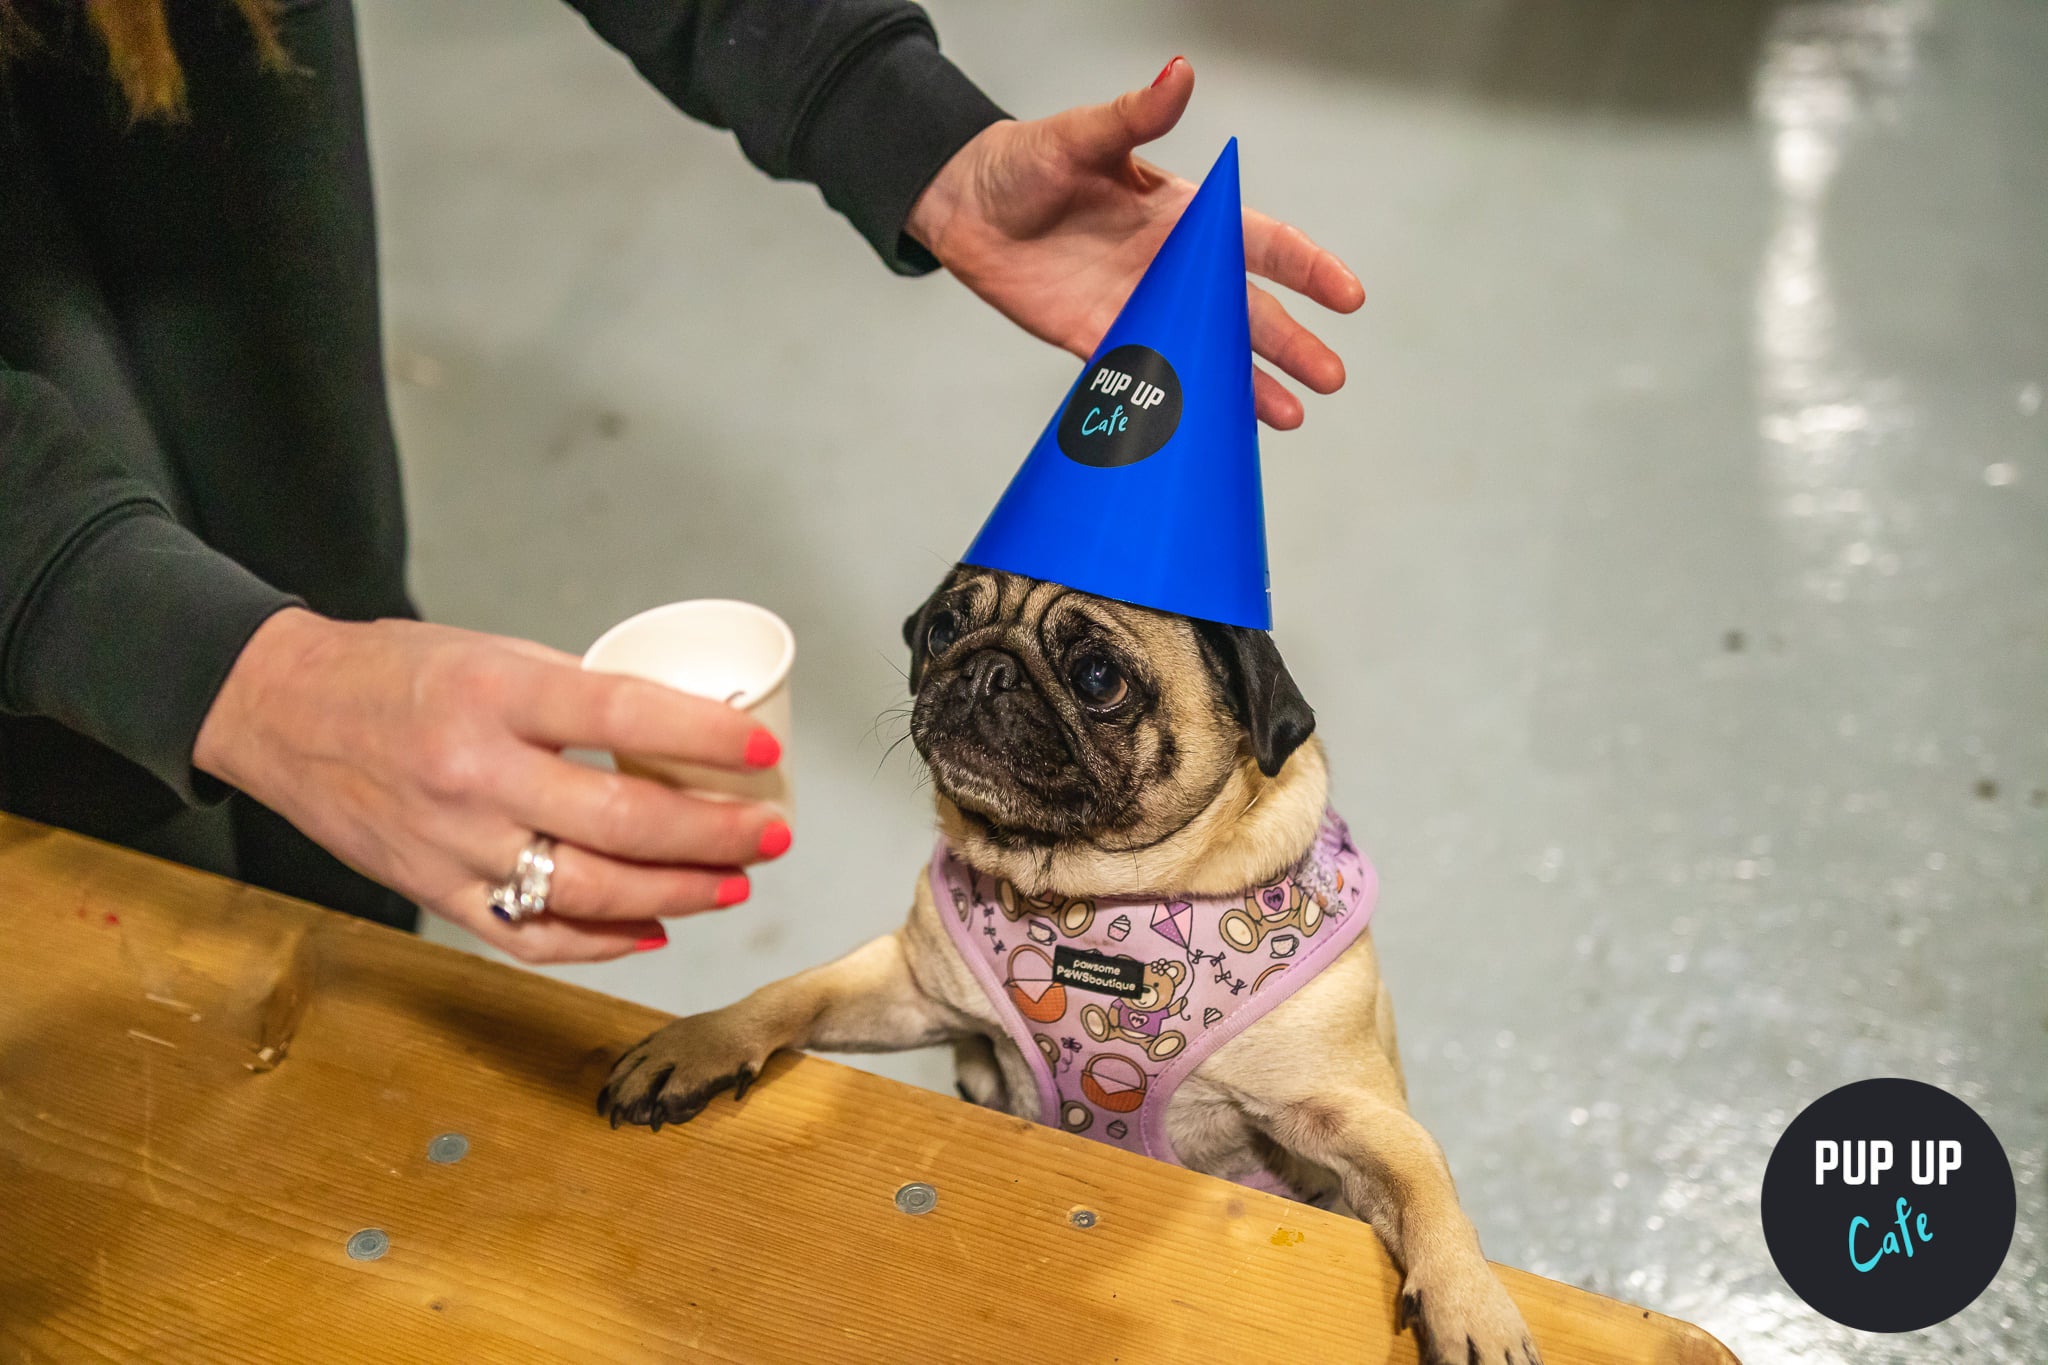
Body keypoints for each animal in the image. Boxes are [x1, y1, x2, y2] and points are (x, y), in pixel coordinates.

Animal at [598, 564, 1540, 1365]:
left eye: (1096, 678)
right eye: (943, 628)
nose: (984, 669)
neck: (1084, 895)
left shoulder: (1352, 1112)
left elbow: (1428, 1191)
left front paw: (1474, 1307)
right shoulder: (910, 987)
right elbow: (789, 992)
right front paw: (697, 1041)